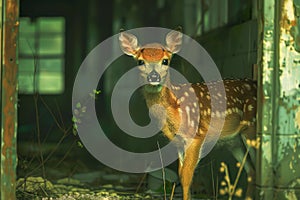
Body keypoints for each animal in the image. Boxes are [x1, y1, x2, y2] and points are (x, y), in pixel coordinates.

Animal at [118, 29, 256, 200]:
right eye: (140, 62)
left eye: (165, 61)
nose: (154, 77)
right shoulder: (177, 141)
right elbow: (180, 173)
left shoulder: (196, 135)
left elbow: (186, 176)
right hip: (234, 140)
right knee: (251, 170)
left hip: (251, 128)